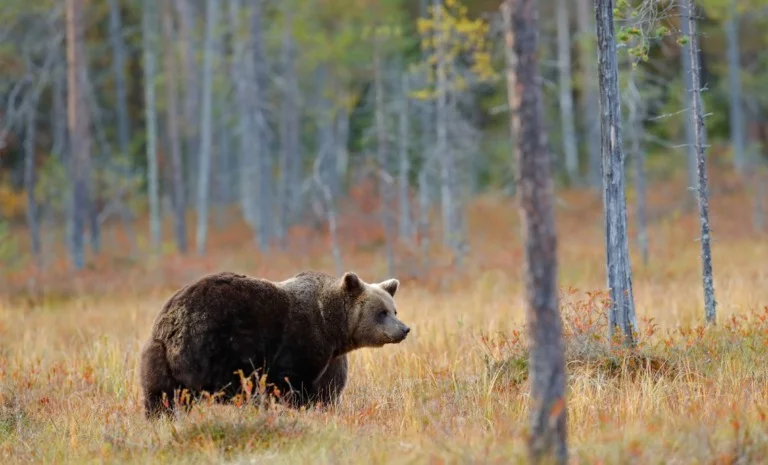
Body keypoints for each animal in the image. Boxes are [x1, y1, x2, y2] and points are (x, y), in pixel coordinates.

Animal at [141, 268, 412, 416]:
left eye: (394, 310)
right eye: (381, 313)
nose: (404, 329)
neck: (333, 328)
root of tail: (172, 317)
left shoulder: (330, 358)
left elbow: (328, 389)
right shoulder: (300, 340)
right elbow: (293, 384)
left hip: (157, 356)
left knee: (159, 396)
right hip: (213, 347)